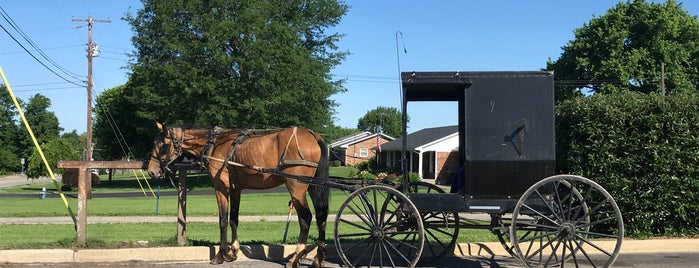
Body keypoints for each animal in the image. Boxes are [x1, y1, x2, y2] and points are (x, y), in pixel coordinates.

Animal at [146, 122, 330, 266]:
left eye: (163, 145)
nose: (151, 171)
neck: (214, 144)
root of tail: (314, 136)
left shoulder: (220, 188)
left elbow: (222, 220)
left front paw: (220, 255)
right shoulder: (236, 189)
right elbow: (234, 219)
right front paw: (233, 251)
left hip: (296, 187)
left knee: (306, 217)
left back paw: (296, 257)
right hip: (313, 186)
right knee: (321, 215)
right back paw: (318, 258)